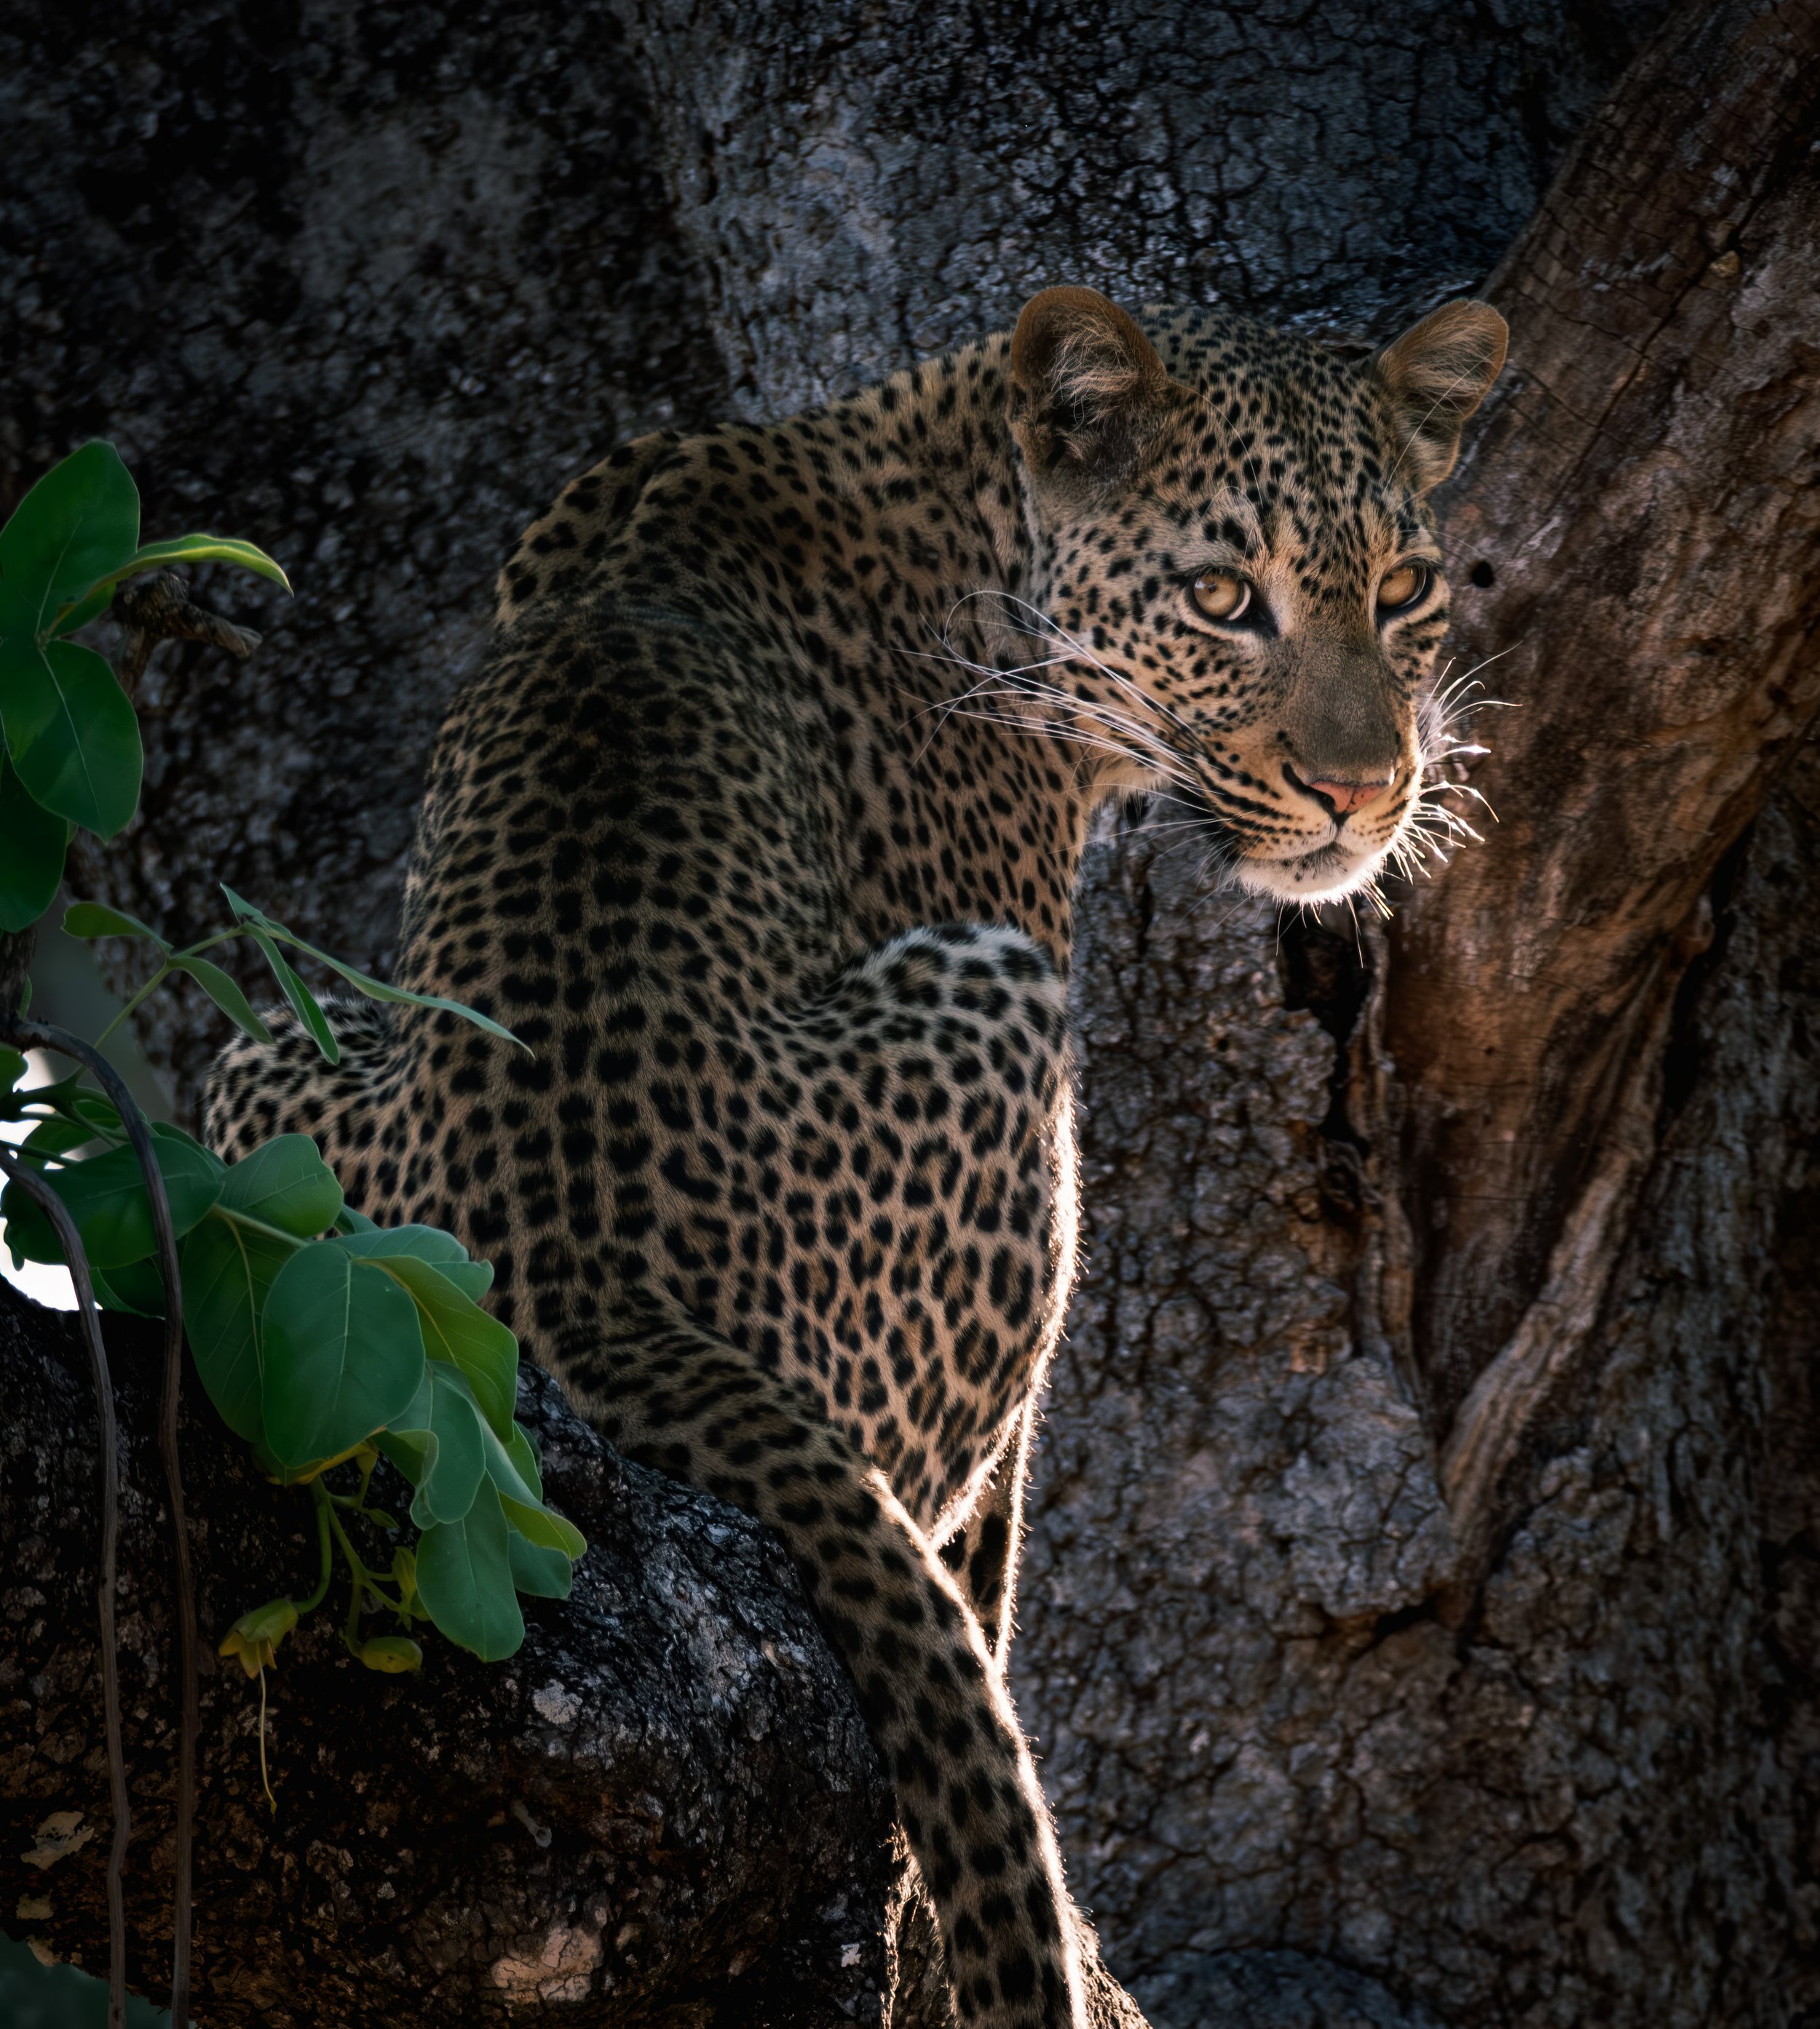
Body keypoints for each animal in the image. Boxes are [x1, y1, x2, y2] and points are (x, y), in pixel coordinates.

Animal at [205, 284, 1507, 2027]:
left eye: (1405, 588)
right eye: (1226, 597)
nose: (1364, 793)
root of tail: (580, 1277)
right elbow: (991, 1599)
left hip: (263, 1060)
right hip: (998, 1027)